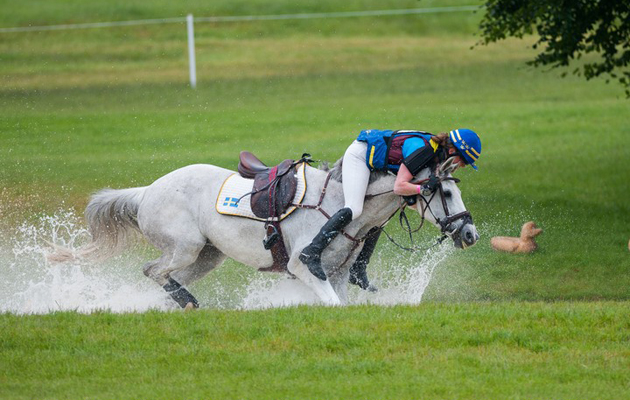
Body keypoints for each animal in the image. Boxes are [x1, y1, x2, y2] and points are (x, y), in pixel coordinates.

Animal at [50, 156, 478, 306]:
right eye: (446, 192)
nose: (471, 234)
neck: (347, 205)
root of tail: (145, 192)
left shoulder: (338, 273)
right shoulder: (306, 268)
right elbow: (332, 302)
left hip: (206, 255)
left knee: (162, 277)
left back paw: (179, 303)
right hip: (185, 246)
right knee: (153, 270)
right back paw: (188, 301)